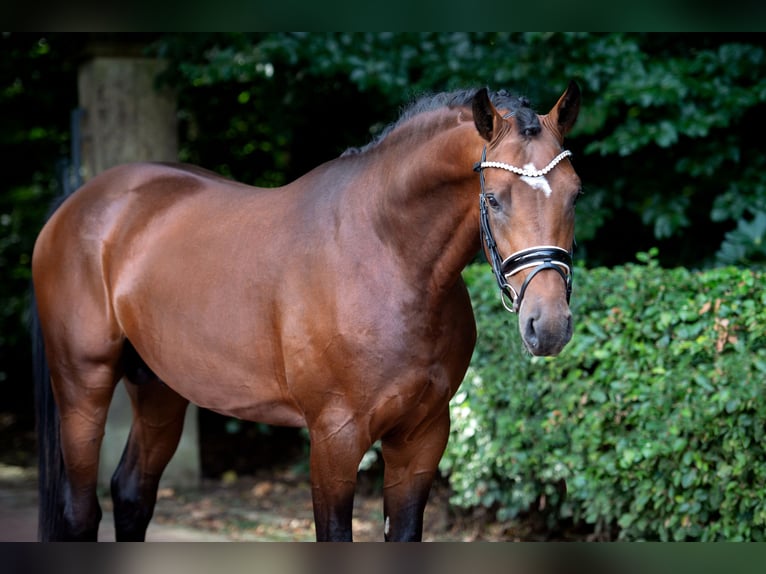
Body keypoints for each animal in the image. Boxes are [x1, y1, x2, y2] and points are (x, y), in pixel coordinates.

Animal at [30, 82, 584, 544]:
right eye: (493, 198)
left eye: (575, 193)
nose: (549, 325)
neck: (388, 255)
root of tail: (79, 204)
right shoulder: (335, 439)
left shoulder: (422, 436)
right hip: (83, 384)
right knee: (80, 512)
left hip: (160, 388)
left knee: (131, 493)